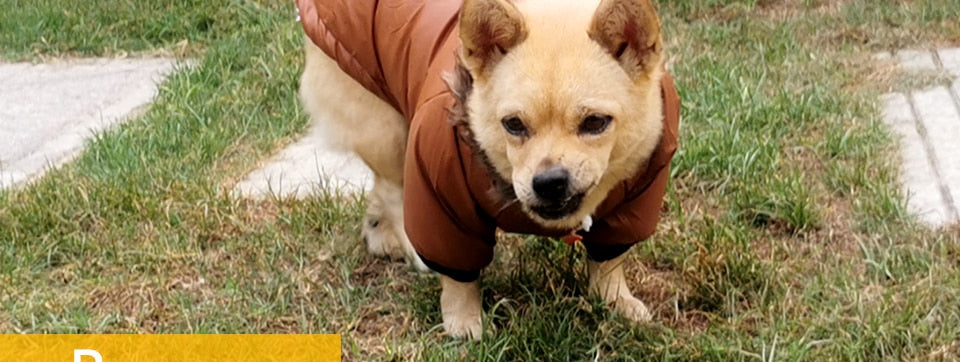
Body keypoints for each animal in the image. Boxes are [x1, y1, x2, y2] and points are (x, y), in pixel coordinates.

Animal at [296, 0, 680, 340]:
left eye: (595, 123)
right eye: (513, 125)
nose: (549, 182)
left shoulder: (633, 201)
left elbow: (608, 261)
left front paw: (614, 301)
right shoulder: (442, 201)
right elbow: (458, 275)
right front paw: (463, 320)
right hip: (388, 128)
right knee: (394, 189)